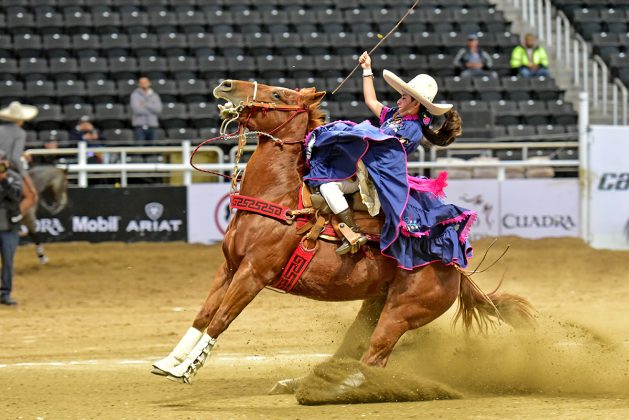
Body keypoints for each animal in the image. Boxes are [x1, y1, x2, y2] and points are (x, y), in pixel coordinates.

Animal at [151, 80, 528, 386]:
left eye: (278, 94)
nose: (226, 85)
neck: (277, 199)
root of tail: (455, 266)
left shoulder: (254, 273)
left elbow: (221, 319)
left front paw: (187, 369)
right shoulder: (229, 267)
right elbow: (204, 315)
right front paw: (169, 362)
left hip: (402, 313)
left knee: (375, 356)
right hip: (375, 305)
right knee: (355, 349)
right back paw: (306, 382)